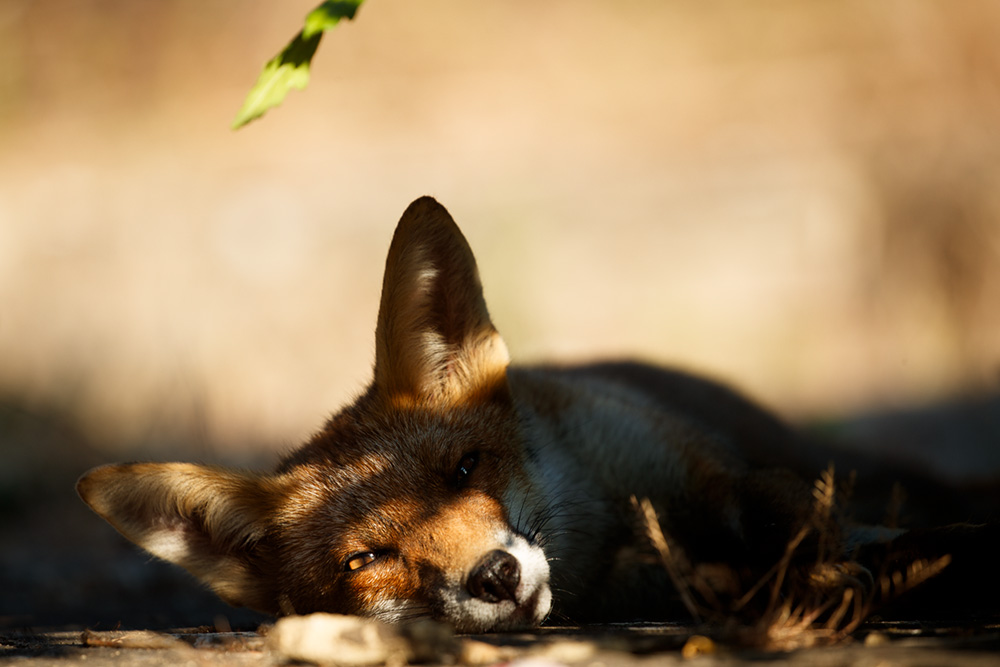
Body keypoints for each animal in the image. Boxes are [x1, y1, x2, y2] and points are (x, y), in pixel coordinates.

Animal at [77, 197, 995, 633]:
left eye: (464, 468)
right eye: (367, 558)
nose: (494, 575)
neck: (612, 529)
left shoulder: (709, 471)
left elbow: (789, 517)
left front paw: (855, 568)